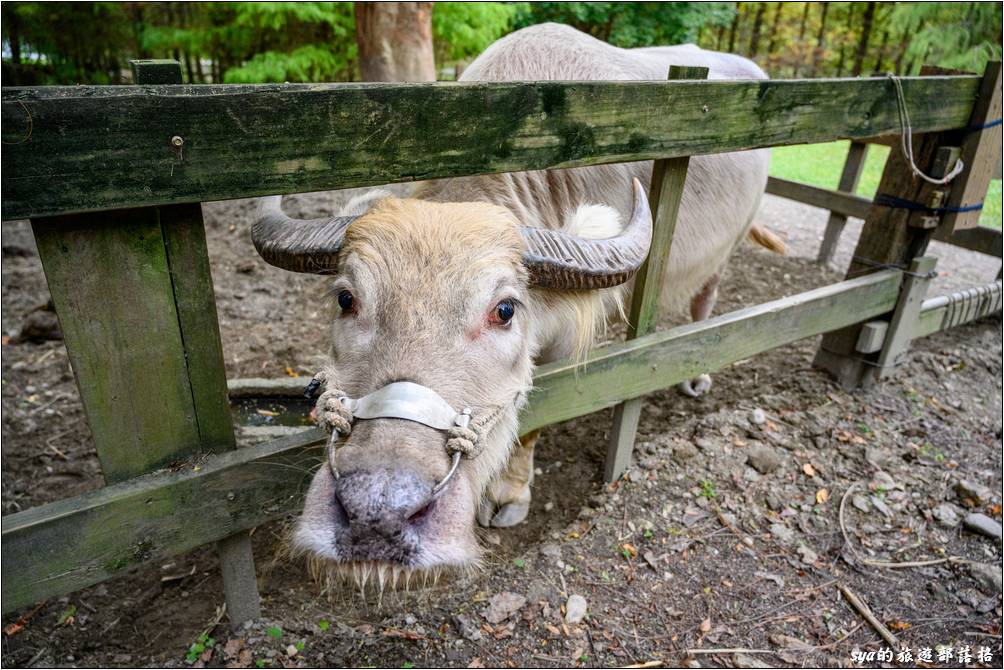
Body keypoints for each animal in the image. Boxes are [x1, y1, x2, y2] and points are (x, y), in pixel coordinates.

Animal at [248, 23, 775, 582]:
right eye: (346, 299)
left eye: (504, 310)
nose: (377, 511)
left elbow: (535, 419)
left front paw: (510, 496)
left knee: (705, 299)